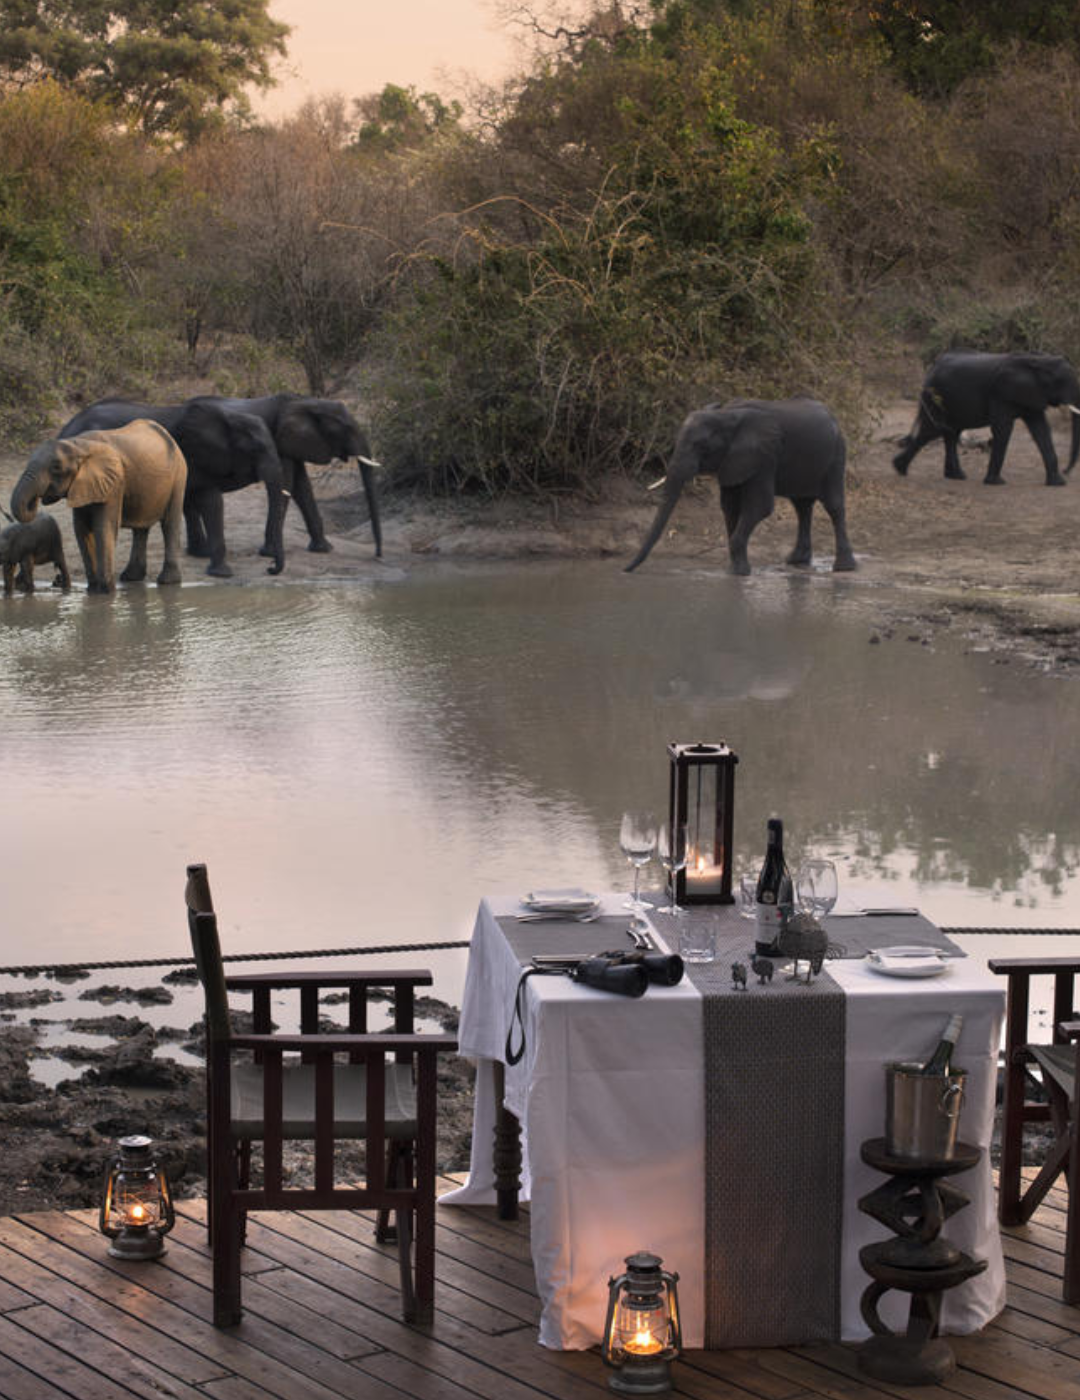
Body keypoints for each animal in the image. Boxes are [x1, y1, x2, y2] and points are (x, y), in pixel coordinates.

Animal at [11, 420, 187, 593]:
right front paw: (93, 590)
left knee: (169, 523)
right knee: (141, 527)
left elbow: (103, 527)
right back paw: (131, 577)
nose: (35, 499)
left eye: (56, 467)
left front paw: (106, 592)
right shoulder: (84, 486)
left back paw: (167, 581)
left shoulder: (114, 483)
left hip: (179, 475)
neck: (78, 445)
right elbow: (81, 529)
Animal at [58, 399, 287, 577]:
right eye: (256, 449)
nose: (269, 567)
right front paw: (221, 573)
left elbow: (189, 502)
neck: (229, 418)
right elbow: (212, 502)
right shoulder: (196, 457)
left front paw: (200, 553)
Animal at [191, 394, 382, 561]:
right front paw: (269, 554)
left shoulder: (295, 443)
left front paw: (324, 549)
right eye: (346, 429)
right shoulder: (279, 443)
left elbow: (302, 487)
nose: (377, 556)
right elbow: (288, 484)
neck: (307, 402)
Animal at [625, 397, 856, 576]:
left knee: (833, 506)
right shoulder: (731, 460)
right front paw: (734, 571)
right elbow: (729, 506)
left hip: (837, 453)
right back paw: (796, 561)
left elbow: (760, 507)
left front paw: (739, 573)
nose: (624, 570)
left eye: (702, 446)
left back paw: (843, 568)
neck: (727, 415)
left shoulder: (764, 455)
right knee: (802, 506)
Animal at [893, 350, 1080, 485]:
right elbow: (1003, 429)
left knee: (950, 432)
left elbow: (1041, 430)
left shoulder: (1032, 395)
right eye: (1062, 381)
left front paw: (1058, 483)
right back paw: (899, 468)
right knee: (934, 430)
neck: (1038, 361)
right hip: (935, 397)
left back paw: (956, 476)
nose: (1067, 471)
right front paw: (996, 482)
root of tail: (932, 367)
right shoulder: (1000, 394)